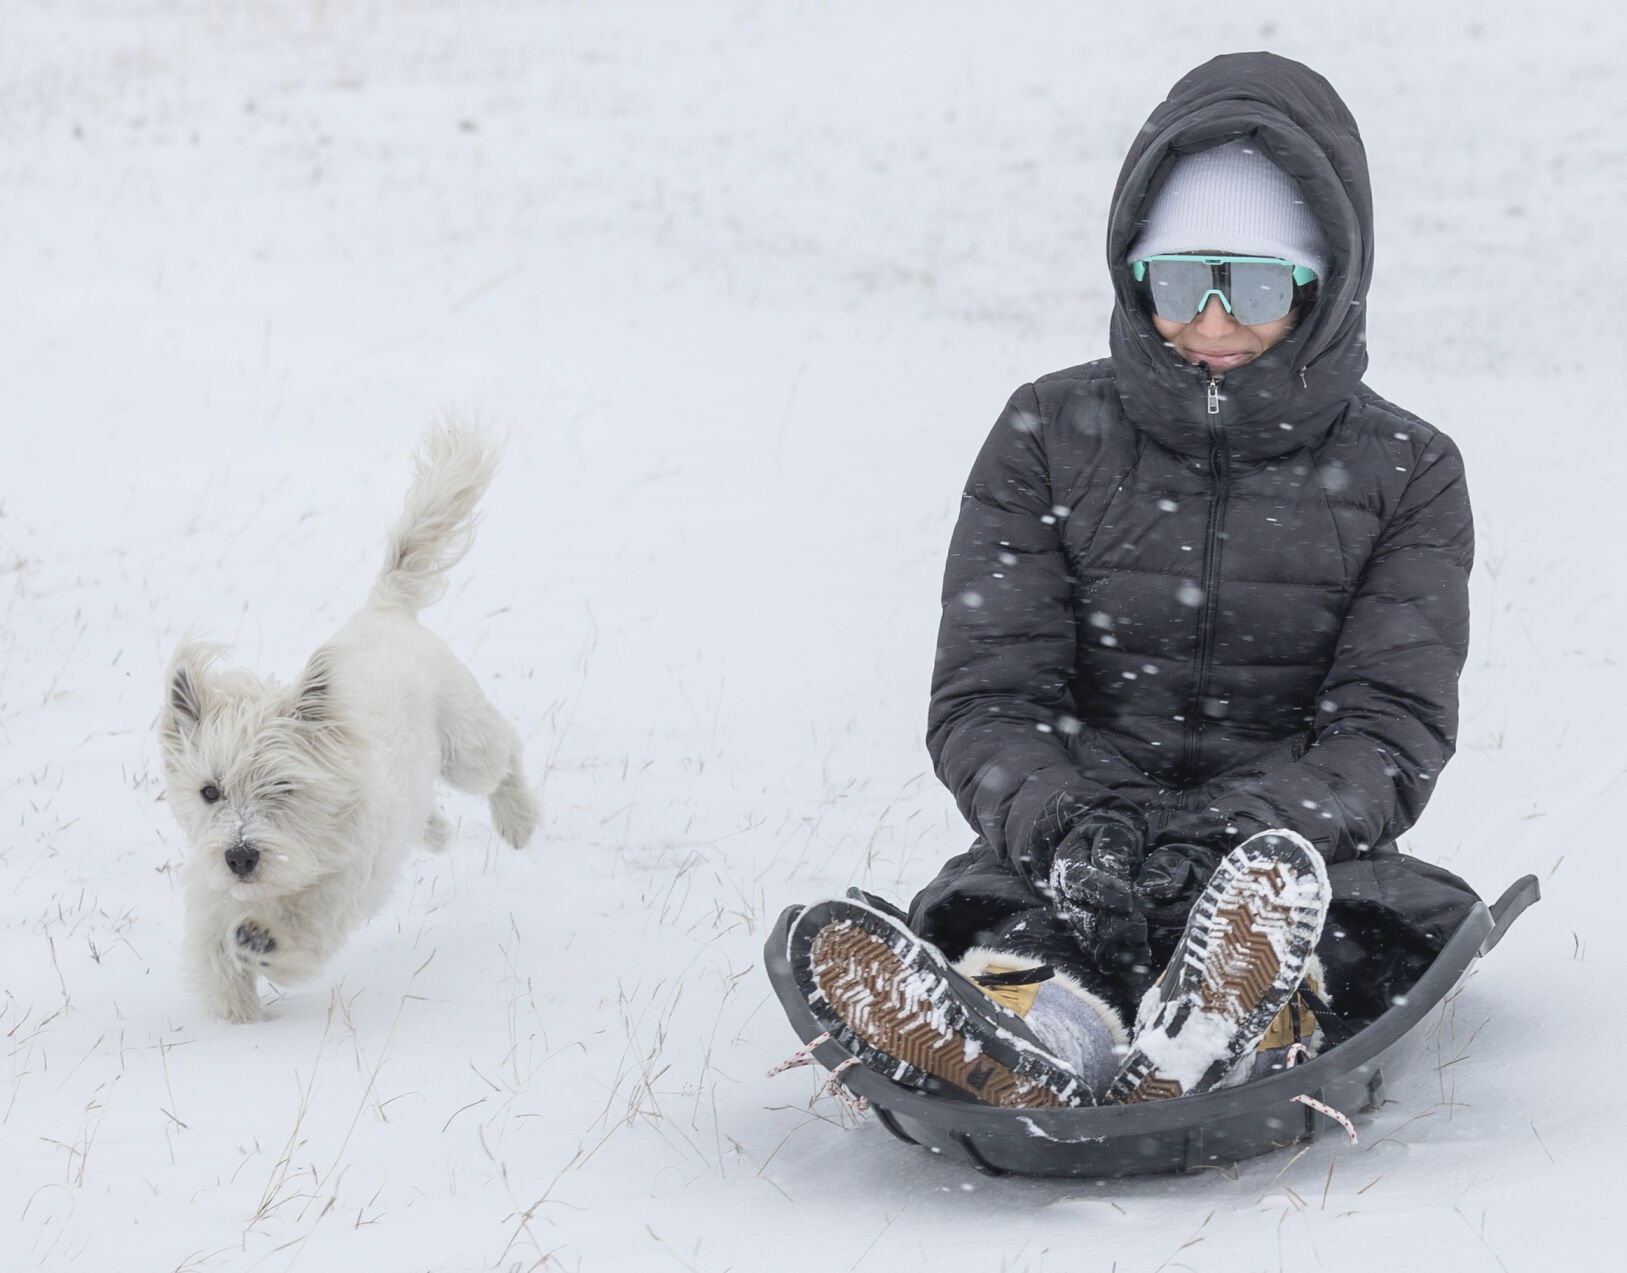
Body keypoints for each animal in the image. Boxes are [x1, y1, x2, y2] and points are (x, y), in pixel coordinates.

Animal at [154, 423, 533, 1022]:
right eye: (209, 791)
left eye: (283, 786)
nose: (240, 857)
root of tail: (386, 609)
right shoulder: (212, 896)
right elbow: (217, 961)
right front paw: (240, 1023)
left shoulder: (341, 888)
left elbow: (303, 932)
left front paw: (265, 941)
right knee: (432, 809)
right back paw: (438, 831)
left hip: (465, 742)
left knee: (504, 757)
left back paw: (519, 822)